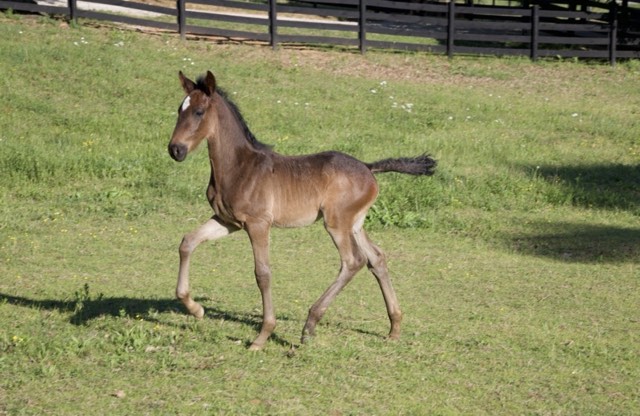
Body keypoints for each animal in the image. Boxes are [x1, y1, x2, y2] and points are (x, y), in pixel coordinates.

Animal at [168, 71, 436, 350]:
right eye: (179, 109)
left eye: (199, 112)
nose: (175, 149)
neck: (239, 167)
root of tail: (368, 166)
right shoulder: (227, 221)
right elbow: (187, 242)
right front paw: (195, 308)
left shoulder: (258, 224)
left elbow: (262, 273)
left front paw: (263, 335)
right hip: (355, 223)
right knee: (376, 258)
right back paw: (394, 327)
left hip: (336, 223)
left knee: (353, 261)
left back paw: (310, 325)